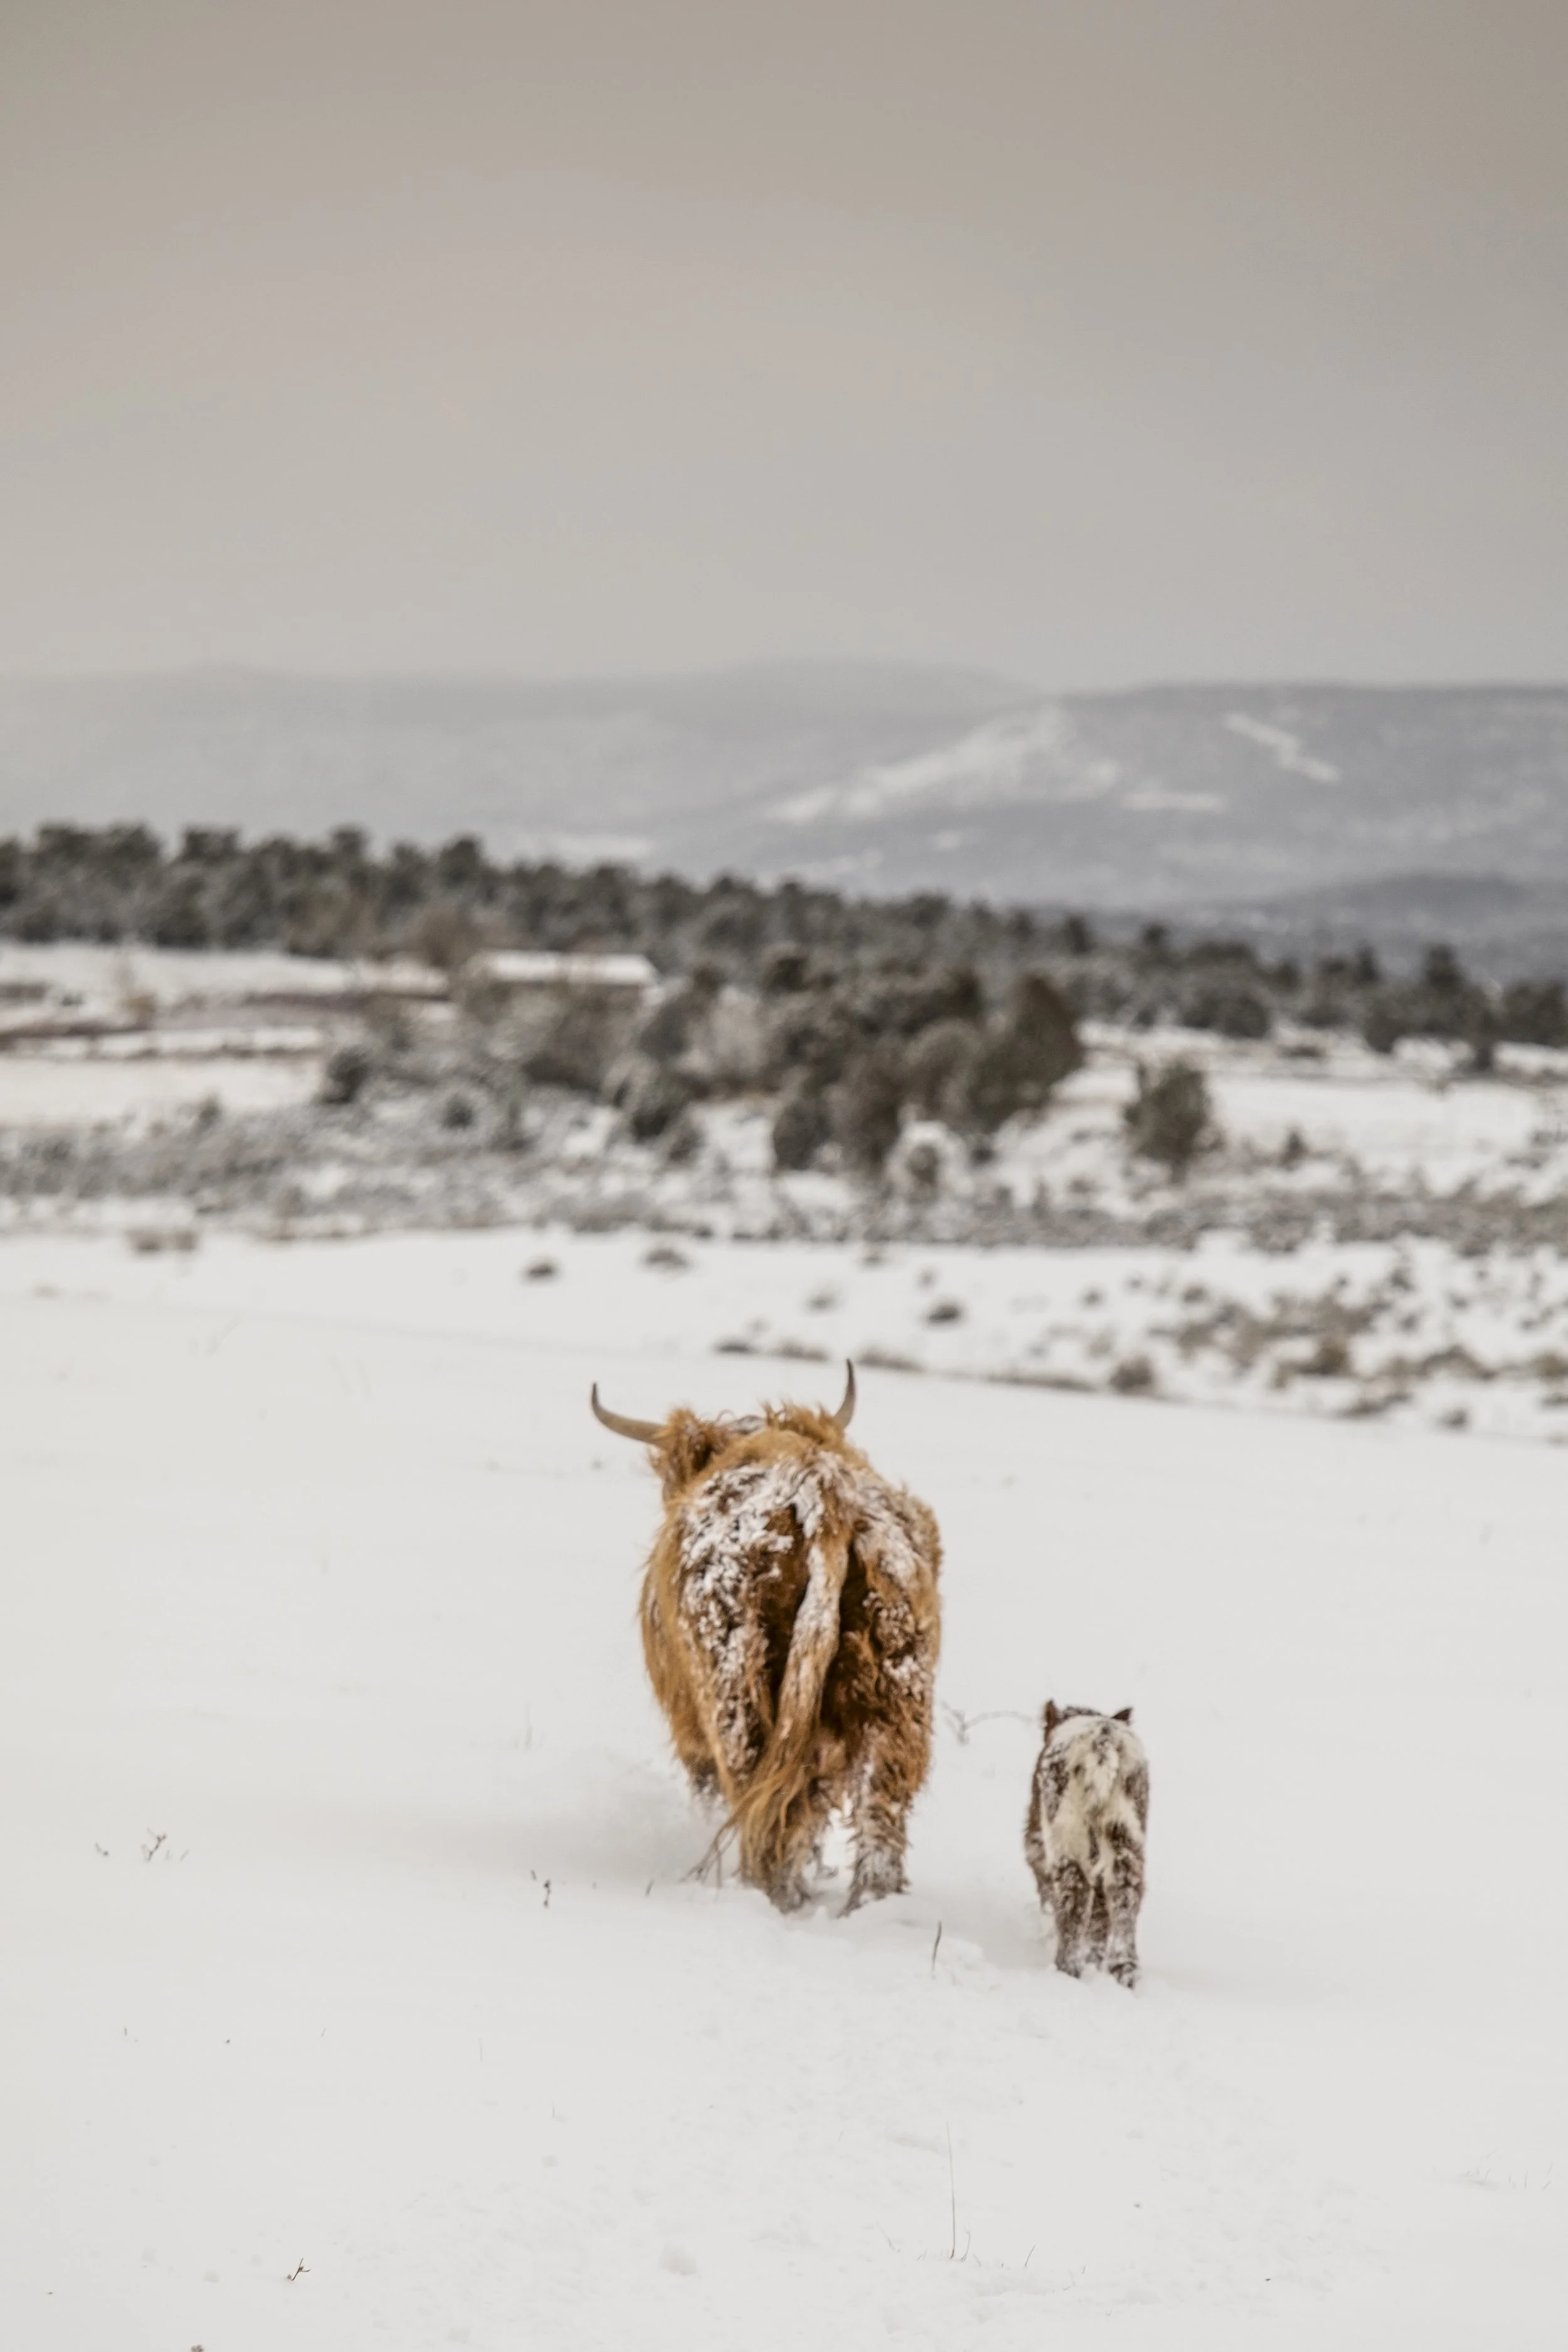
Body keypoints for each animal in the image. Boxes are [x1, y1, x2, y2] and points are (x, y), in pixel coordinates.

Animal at [590, 1362, 941, 1913]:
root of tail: (819, 1493)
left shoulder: (692, 1732)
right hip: (898, 1685)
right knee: (877, 1803)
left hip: (734, 1684)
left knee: (764, 1800)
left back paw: (769, 1893)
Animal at [1024, 1701, 1149, 1985]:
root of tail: (1102, 1740)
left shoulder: (1036, 1842)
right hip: (1126, 1829)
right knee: (1125, 1890)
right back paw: (1125, 1969)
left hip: (1067, 1833)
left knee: (1074, 1891)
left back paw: (1067, 1968)